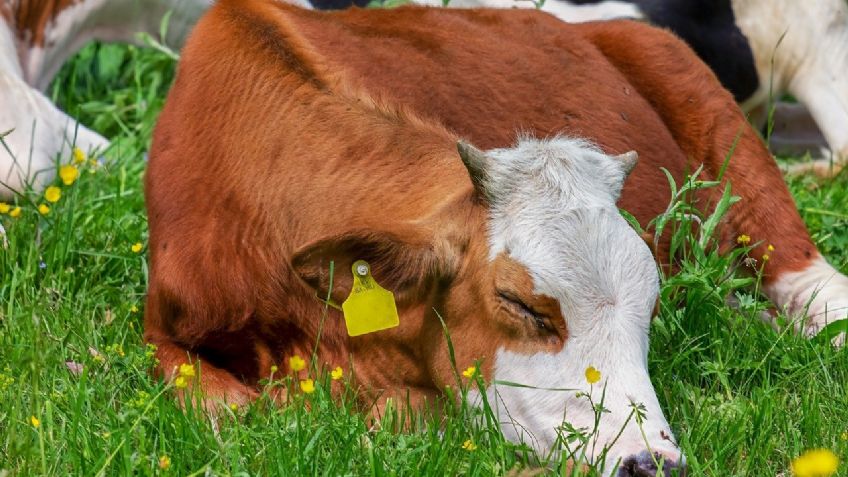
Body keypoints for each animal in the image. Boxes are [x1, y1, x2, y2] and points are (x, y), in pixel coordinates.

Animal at [144, 0, 848, 474]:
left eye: (650, 308)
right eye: (520, 305)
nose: (651, 463)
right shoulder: (160, 328)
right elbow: (228, 411)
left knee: (818, 291)